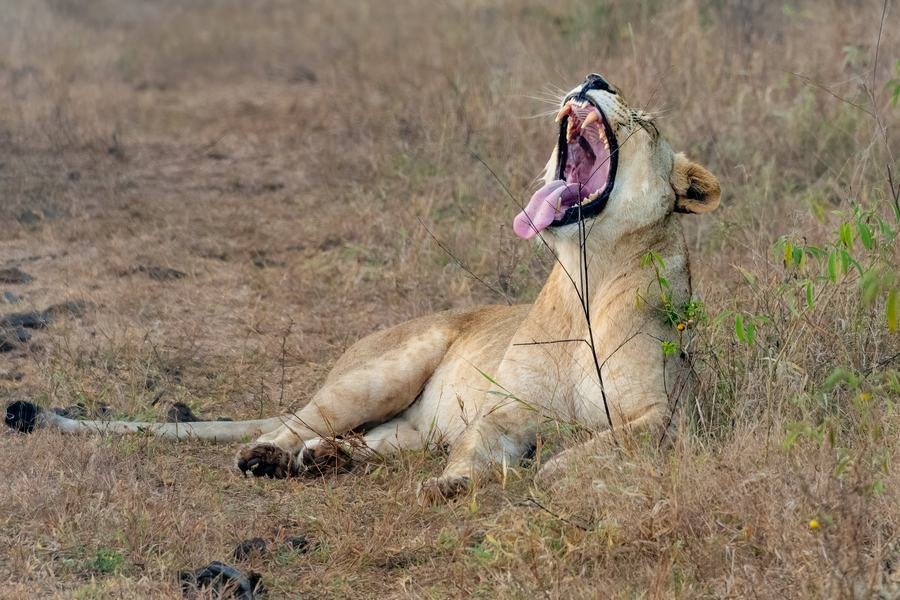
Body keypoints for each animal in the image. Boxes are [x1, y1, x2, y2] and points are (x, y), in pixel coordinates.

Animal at [5, 73, 720, 503]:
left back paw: (327, 461)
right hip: (383, 371)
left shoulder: (670, 414)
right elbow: (478, 447)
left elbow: (612, 441)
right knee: (290, 424)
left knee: (374, 442)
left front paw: (555, 469)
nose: (596, 80)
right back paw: (271, 458)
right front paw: (450, 487)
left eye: (647, 122)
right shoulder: (504, 408)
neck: (583, 279)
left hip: (411, 428)